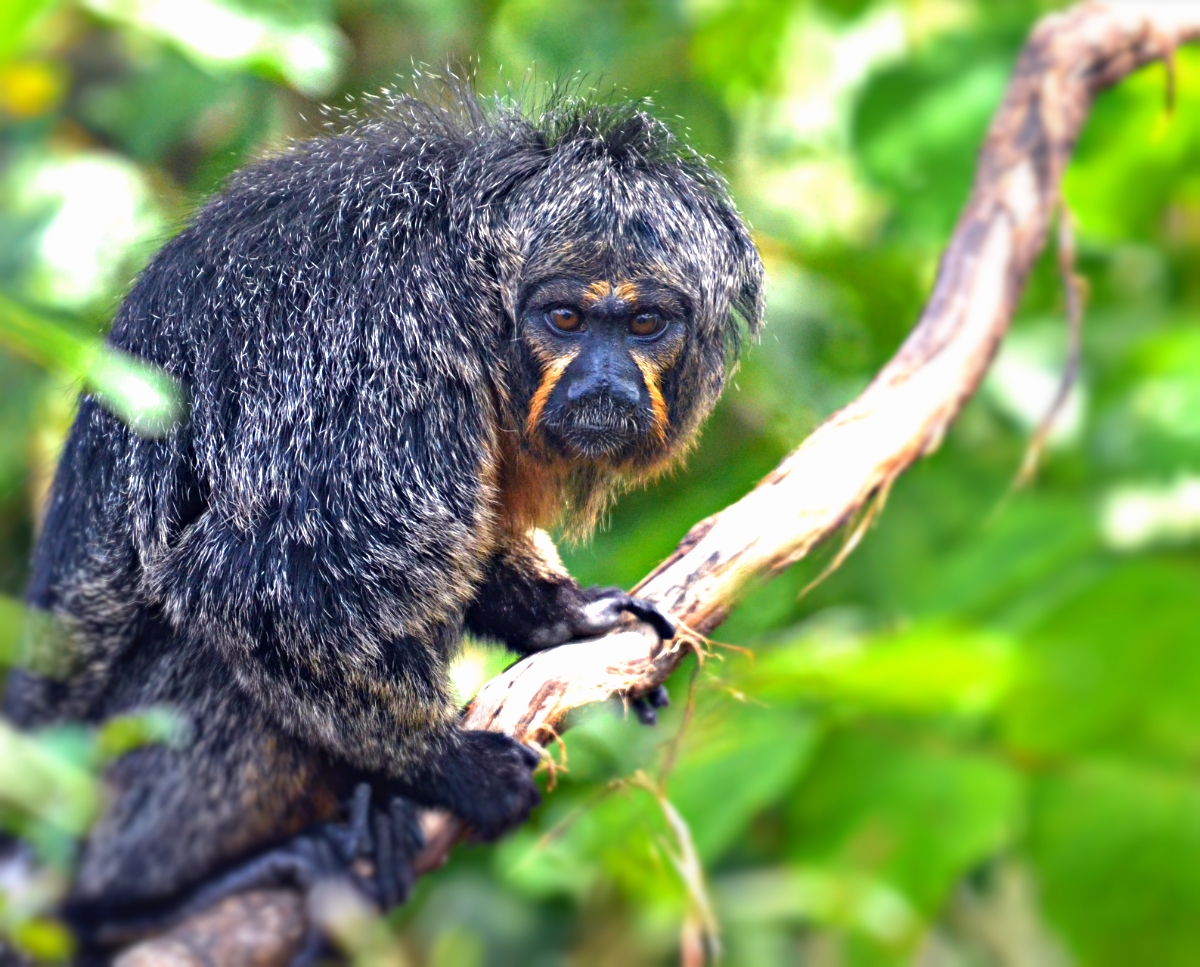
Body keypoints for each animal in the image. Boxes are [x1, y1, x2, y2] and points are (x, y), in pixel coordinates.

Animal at [1, 85, 764, 954]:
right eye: (566, 319)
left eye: (644, 325)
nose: (604, 384)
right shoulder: (380, 359)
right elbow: (258, 587)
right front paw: (449, 767)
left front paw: (569, 617)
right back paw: (132, 903)